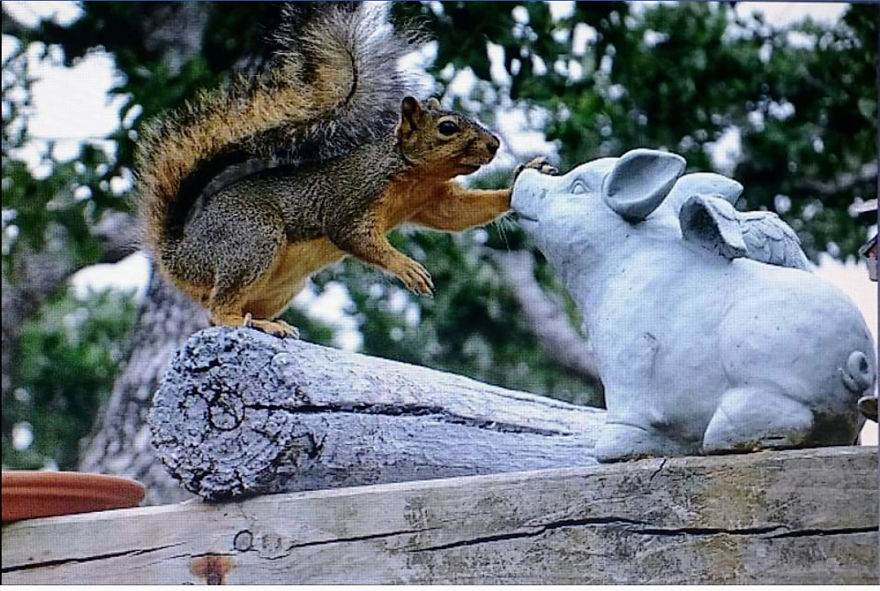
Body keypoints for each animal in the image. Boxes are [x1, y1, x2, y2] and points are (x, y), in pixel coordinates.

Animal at [134, 2, 554, 338]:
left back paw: (268, 322)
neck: (413, 174)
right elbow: (353, 235)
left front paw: (521, 180)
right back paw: (253, 324)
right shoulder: (354, 196)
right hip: (251, 239)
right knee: (218, 311)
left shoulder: (433, 201)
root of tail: (181, 255)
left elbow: (459, 214)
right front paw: (407, 267)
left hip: (279, 284)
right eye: (448, 127)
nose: (495, 144)